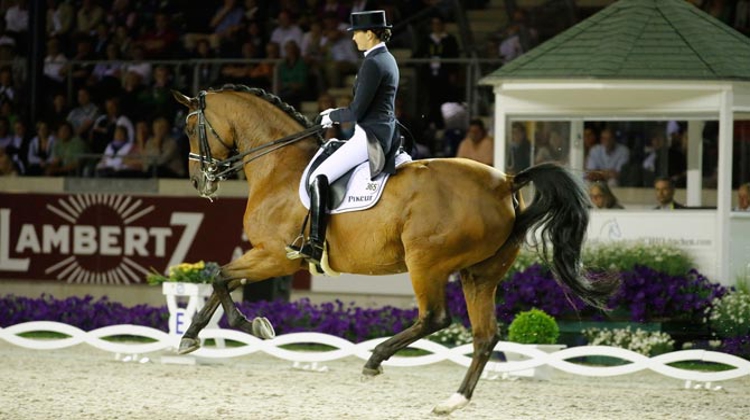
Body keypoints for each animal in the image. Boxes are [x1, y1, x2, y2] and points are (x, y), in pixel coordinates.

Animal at [173, 84, 620, 414]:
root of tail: (506, 182)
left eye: (191, 127)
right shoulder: (268, 255)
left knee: (435, 317)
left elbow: (220, 277)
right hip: (480, 274)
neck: (279, 167)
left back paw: (375, 359)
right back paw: (452, 401)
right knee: (485, 336)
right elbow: (221, 281)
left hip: (426, 263)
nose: (198, 181)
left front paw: (251, 326)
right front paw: (191, 337)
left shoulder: (275, 256)